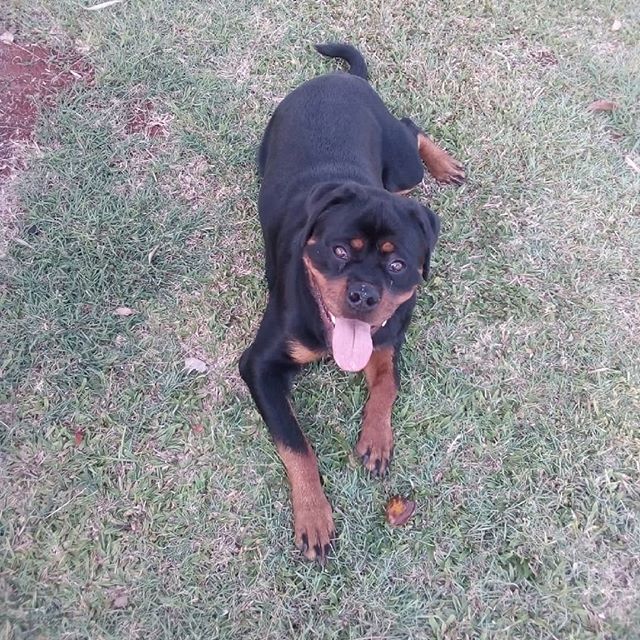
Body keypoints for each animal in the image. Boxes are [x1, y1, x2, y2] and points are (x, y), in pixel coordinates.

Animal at [240, 42, 464, 560]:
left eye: (397, 264)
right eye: (340, 251)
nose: (363, 294)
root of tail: (343, 79)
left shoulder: (387, 339)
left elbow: (386, 385)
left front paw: (377, 438)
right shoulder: (258, 365)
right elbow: (295, 442)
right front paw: (313, 514)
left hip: (400, 172)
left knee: (410, 127)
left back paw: (444, 163)